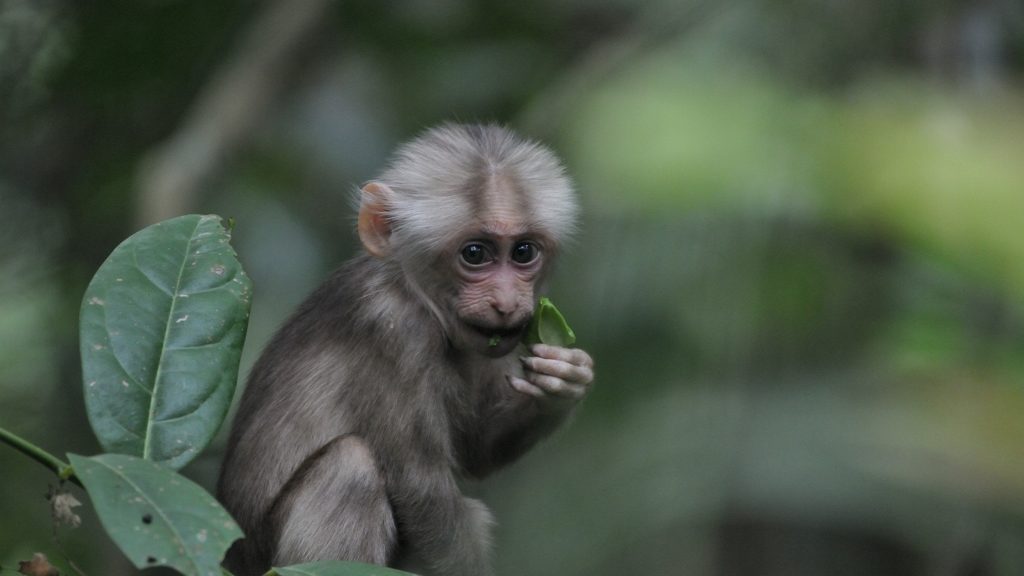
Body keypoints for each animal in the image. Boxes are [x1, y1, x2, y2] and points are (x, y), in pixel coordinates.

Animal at [219, 123, 598, 569]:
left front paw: (563, 383)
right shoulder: (395, 330)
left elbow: (475, 453)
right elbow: (423, 492)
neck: (415, 293)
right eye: (475, 254)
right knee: (350, 467)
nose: (505, 303)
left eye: (523, 252)